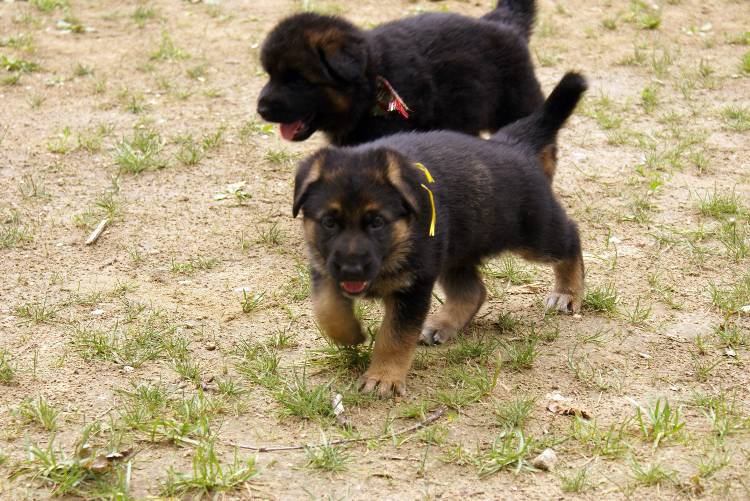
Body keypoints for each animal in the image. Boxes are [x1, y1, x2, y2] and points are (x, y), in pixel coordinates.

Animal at [290, 73, 592, 394]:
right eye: (329, 222)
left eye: (377, 222)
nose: (351, 270)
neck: (399, 240)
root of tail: (512, 144)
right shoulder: (324, 267)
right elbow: (326, 308)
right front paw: (349, 334)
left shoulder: (414, 287)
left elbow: (394, 337)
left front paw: (384, 378)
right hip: (455, 251)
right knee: (473, 291)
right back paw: (443, 324)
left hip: (534, 233)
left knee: (571, 238)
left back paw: (567, 293)